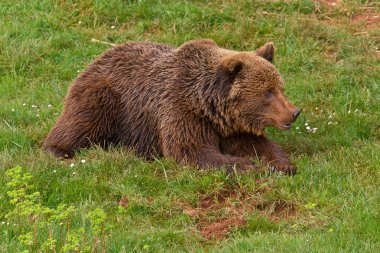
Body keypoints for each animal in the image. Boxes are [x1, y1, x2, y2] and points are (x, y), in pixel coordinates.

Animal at [43, 38, 300, 175]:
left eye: (279, 87)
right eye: (267, 92)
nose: (294, 112)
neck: (207, 105)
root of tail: (97, 58)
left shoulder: (230, 126)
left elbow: (257, 144)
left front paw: (282, 164)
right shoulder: (181, 112)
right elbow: (190, 150)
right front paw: (247, 165)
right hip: (104, 100)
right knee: (81, 125)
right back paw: (58, 149)